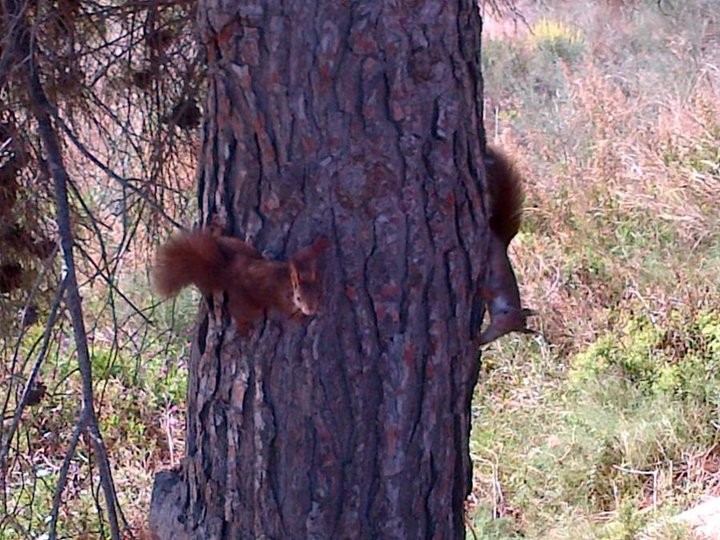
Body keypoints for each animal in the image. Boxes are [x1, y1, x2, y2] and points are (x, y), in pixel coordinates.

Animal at [155, 228, 332, 334]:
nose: (310, 309)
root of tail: (226, 273)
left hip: (240, 247)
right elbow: (289, 315)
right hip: (246, 303)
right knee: (239, 312)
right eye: (299, 298)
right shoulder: (283, 300)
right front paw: (300, 318)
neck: (288, 285)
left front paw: (321, 243)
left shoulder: (300, 265)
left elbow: (304, 253)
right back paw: (244, 329)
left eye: (318, 294)